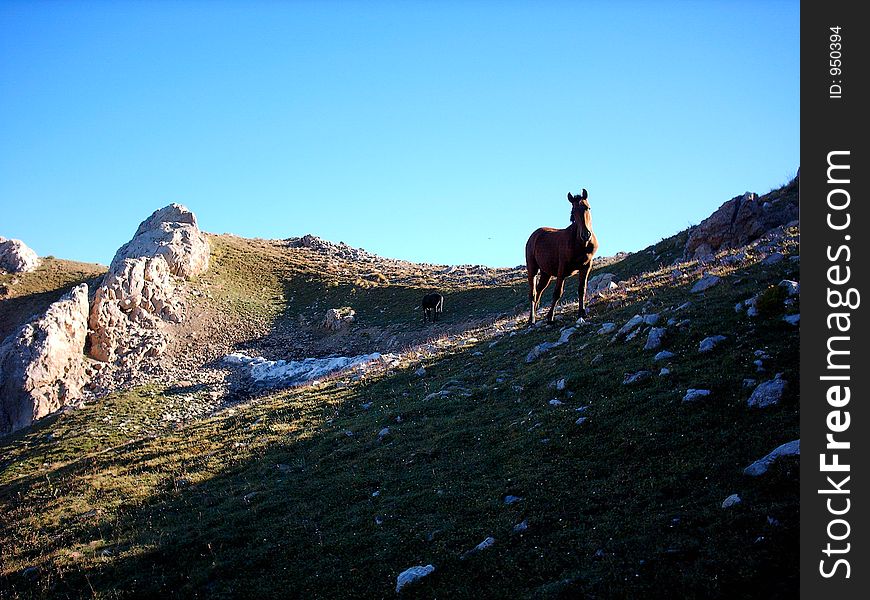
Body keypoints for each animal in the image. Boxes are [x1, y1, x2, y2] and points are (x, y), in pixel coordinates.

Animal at [524, 190, 600, 326]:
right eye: (573, 211)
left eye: (588, 207)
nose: (586, 234)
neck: (581, 245)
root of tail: (534, 235)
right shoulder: (562, 270)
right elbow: (557, 293)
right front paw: (550, 317)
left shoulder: (586, 267)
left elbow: (582, 289)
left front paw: (582, 313)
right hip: (532, 268)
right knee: (533, 293)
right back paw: (531, 319)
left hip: (546, 273)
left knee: (539, 291)